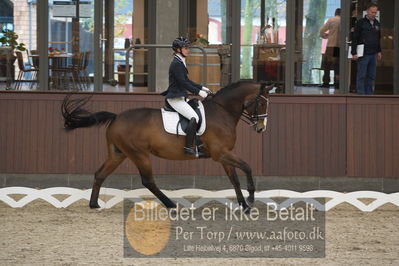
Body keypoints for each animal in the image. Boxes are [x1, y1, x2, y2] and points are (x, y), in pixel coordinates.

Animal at [62, 80, 274, 211]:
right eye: (261, 103)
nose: (261, 128)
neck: (222, 112)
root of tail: (116, 117)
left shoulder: (224, 154)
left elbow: (234, 179)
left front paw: (244, 205)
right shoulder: (220, 153)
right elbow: (247, 167)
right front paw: (251, 198)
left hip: (118, 154)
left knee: (100, 174)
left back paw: (94, 204)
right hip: (139, 154)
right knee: (148, 181)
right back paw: (171, 204)